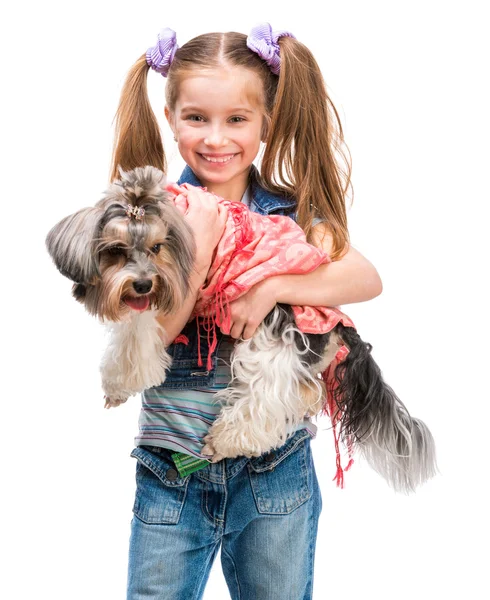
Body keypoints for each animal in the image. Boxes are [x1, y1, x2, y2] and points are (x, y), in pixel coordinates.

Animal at [46, 164, 436, 492]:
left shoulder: (172, 291)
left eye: (157, 247)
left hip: (273, 332)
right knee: (303, 390)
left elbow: (137, 336)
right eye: (115, 249)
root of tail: (342, 327)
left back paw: (223, 441)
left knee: (266, 398)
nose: (142, 284)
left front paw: (120, 382)